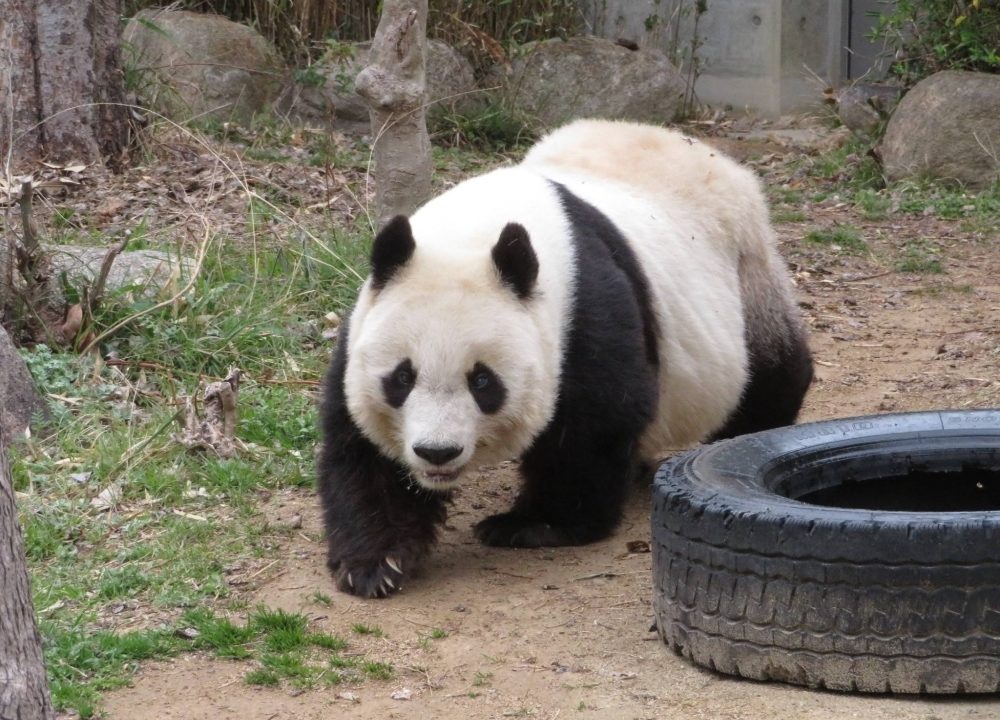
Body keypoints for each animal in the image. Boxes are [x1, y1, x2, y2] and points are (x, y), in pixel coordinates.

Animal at [318, 119, 813, 599]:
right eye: (402, 378)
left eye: (483, 382)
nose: (437, 452)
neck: (474, 233)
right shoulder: (365, 323)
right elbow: (361, 447)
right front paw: (375, 563)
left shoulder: (584, 308)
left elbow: (592, 422)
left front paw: (534, 525)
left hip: (748, 275)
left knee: (771, 374)